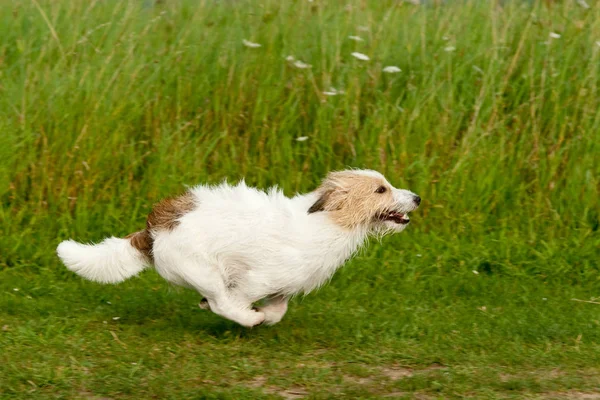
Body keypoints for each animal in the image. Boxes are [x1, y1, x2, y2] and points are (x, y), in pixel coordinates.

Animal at [57, 170, 422, 328]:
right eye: (380, 189)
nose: (417, 198)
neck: (325, 222)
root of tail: (153, 229)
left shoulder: (283, 285)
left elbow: (280, 308)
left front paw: (269, 316)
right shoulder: (254, 279)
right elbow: (239, 300)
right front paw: (254, 315)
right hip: (204, 269)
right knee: (222, 302)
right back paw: (246, 318)